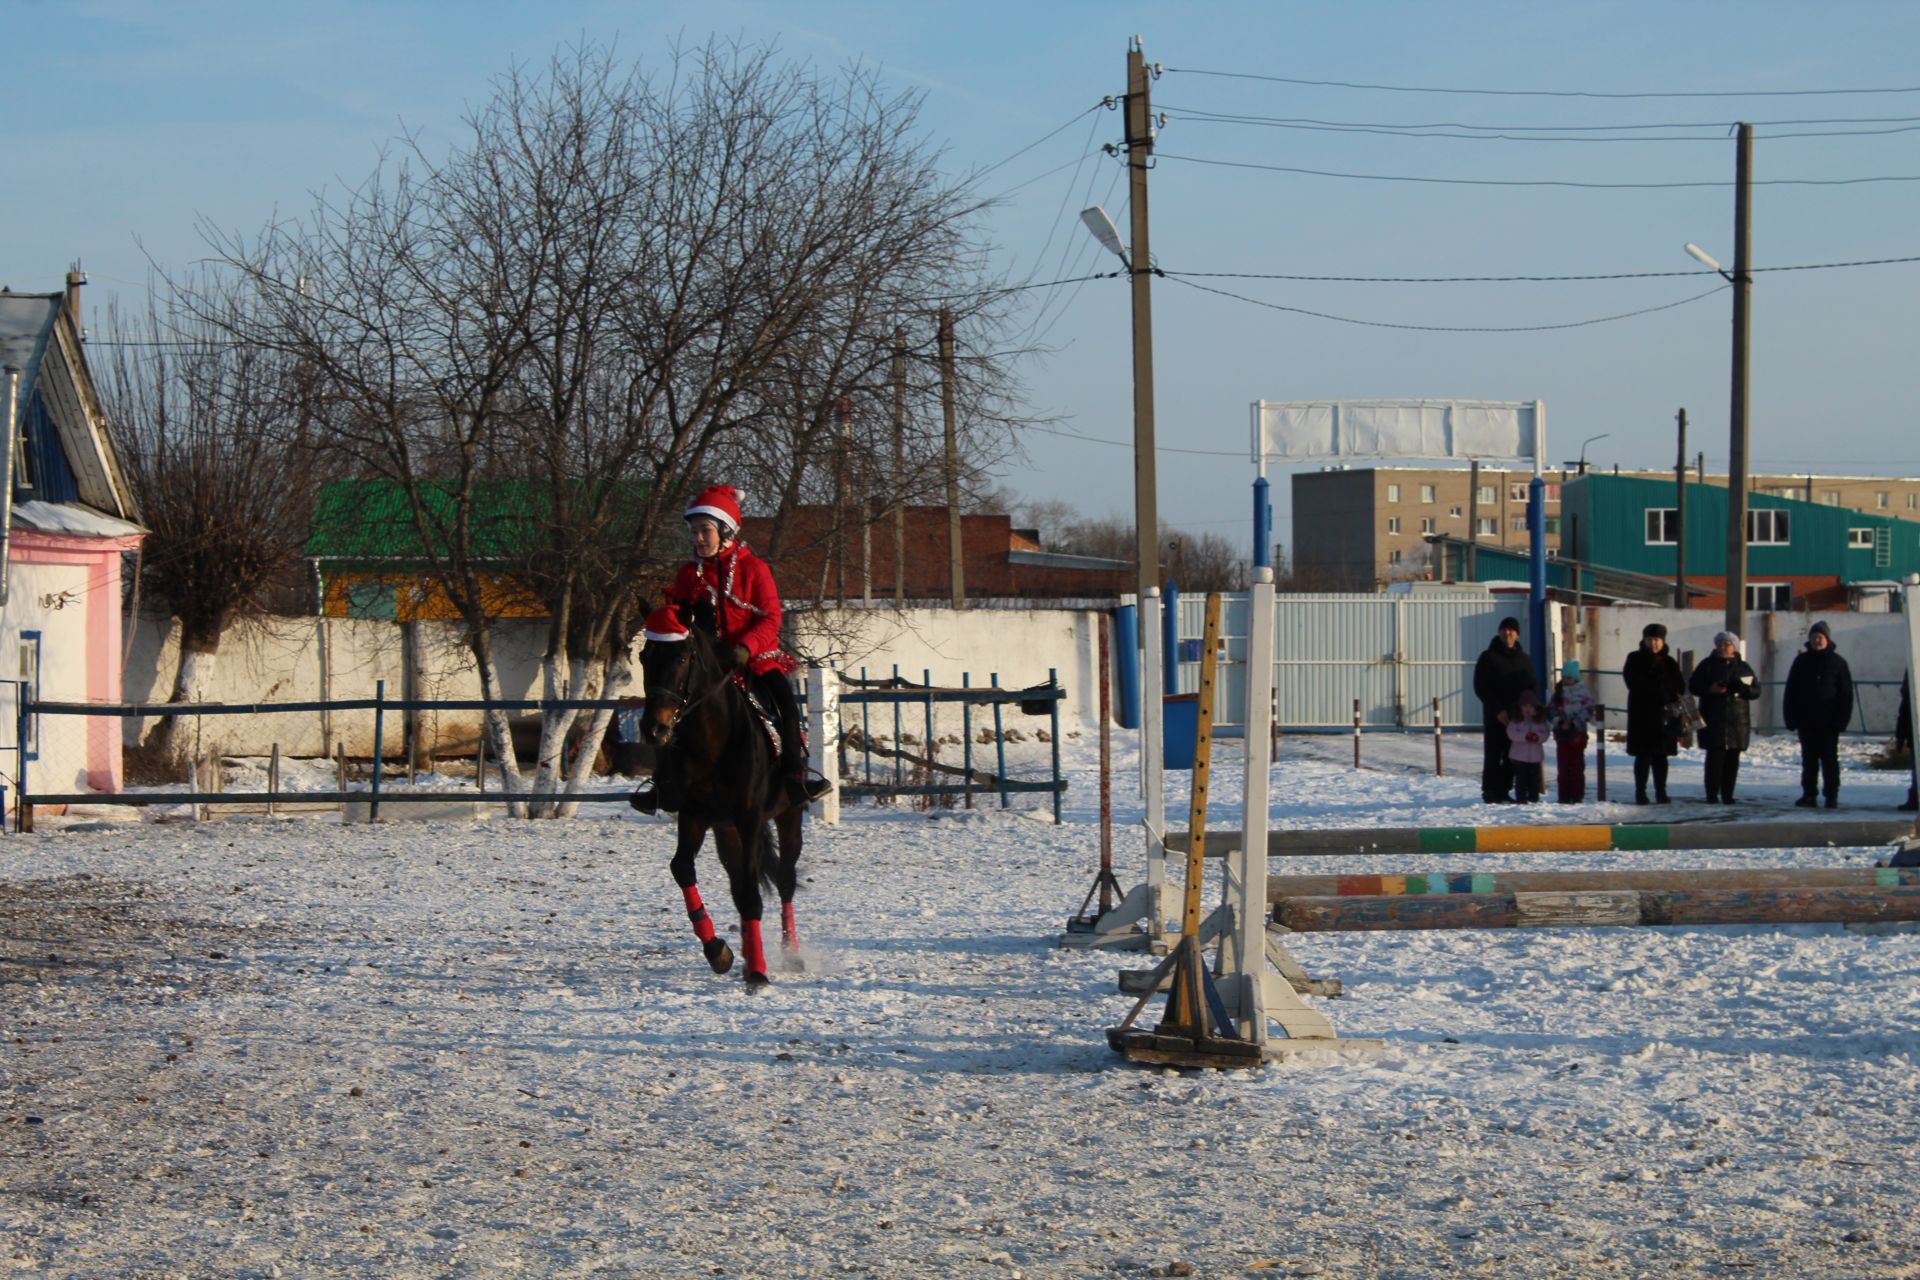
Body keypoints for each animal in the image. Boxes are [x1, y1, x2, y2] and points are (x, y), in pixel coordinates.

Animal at [637, 606, 802, 990]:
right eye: (643, 657)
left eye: (683, 657)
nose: (654, 728)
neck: (712, 740)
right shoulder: (694, 815)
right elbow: (682, 869)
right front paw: (719, 952)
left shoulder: (750, 817)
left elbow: (753, 894)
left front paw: (757, 972)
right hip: (725, 831)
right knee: (738, 883)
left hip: (789, 815)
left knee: (784, 879)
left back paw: (790, 954)